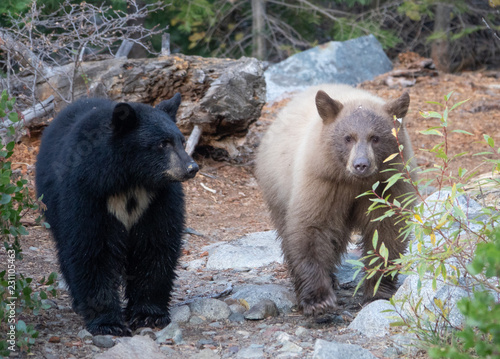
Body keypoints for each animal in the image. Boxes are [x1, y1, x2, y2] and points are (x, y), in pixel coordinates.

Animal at [35, 94, 197, 336]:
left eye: (182, 141)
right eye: (162, 143)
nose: (191, 168)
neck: (130, 179)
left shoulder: (157, 198)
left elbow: (156, 244)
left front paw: (149, 315)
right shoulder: (87, 192)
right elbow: (92, 249)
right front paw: (108, 323)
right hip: (52, 205)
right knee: (65, 250)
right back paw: (78, 303)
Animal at [256, 86, 416, 316]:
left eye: (375, 138)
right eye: (348, 138)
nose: (361, 164)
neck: (356, 183)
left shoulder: (389, 184)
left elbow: (386, 231)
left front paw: (379, 290)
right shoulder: (323, 182)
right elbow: (313, 228)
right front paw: (319, 301)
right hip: (277, 187)